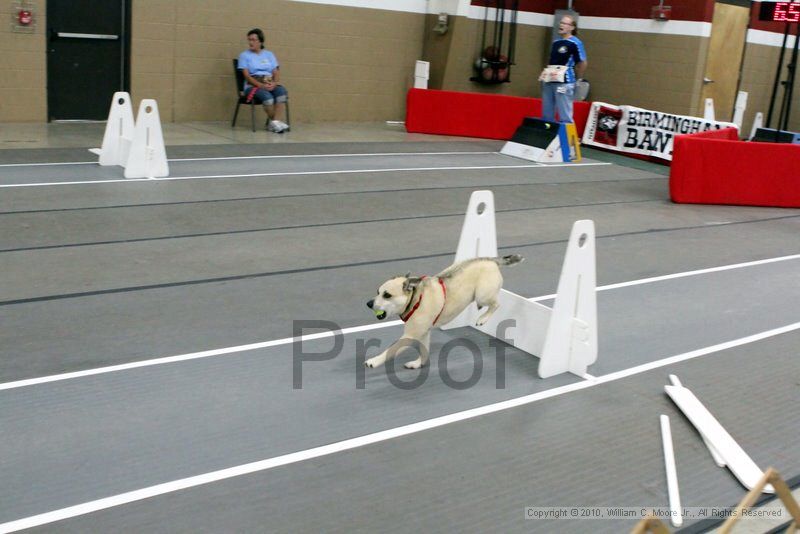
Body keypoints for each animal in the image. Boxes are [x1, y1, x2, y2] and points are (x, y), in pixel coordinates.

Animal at [364, 258, 524, 370]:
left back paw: (482, 319)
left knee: (496, 304)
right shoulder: (423, 333)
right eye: (378, 292)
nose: (369, 303)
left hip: (482, 295)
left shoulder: (409, 336)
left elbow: (390, 351)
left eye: (387, 295)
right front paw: (418, 364)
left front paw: (374, 361)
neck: (416, 298)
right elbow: (424, 351)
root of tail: (492, 260)